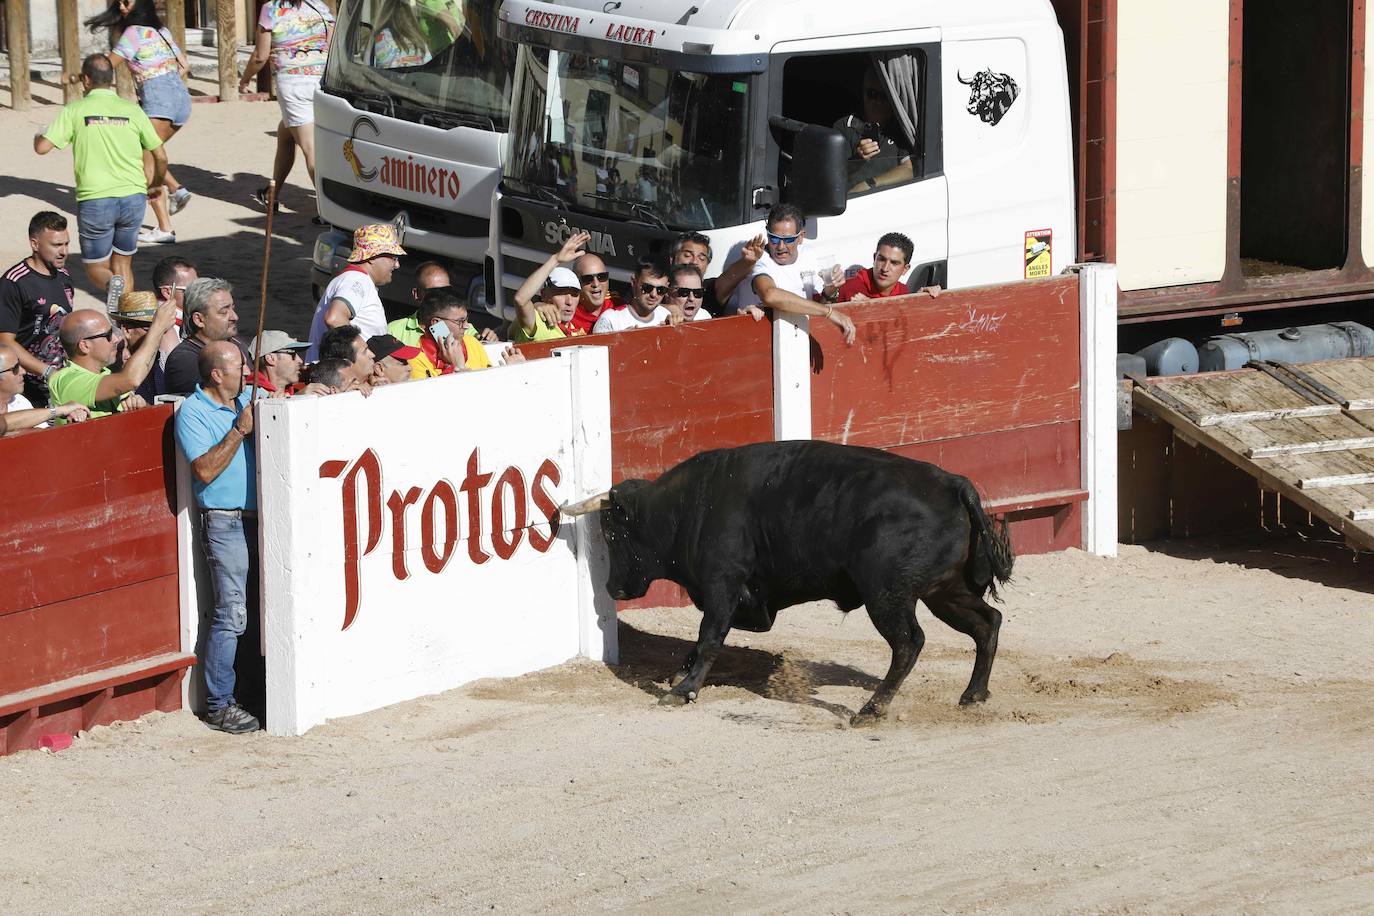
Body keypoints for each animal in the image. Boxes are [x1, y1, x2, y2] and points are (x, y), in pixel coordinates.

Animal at [560, 439, 1022, 725]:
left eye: (611, 533)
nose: (613, 590)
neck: (689, 504)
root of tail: (955, 485)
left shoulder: (722, 583)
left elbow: (709, 636)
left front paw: (685, 689)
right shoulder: (742, 596)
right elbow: (710, 636)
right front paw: (680, 675)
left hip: (887, 595)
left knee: (909, 643)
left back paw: (871, 710)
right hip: (946, 592)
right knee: (988, 623)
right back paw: (972, 695)